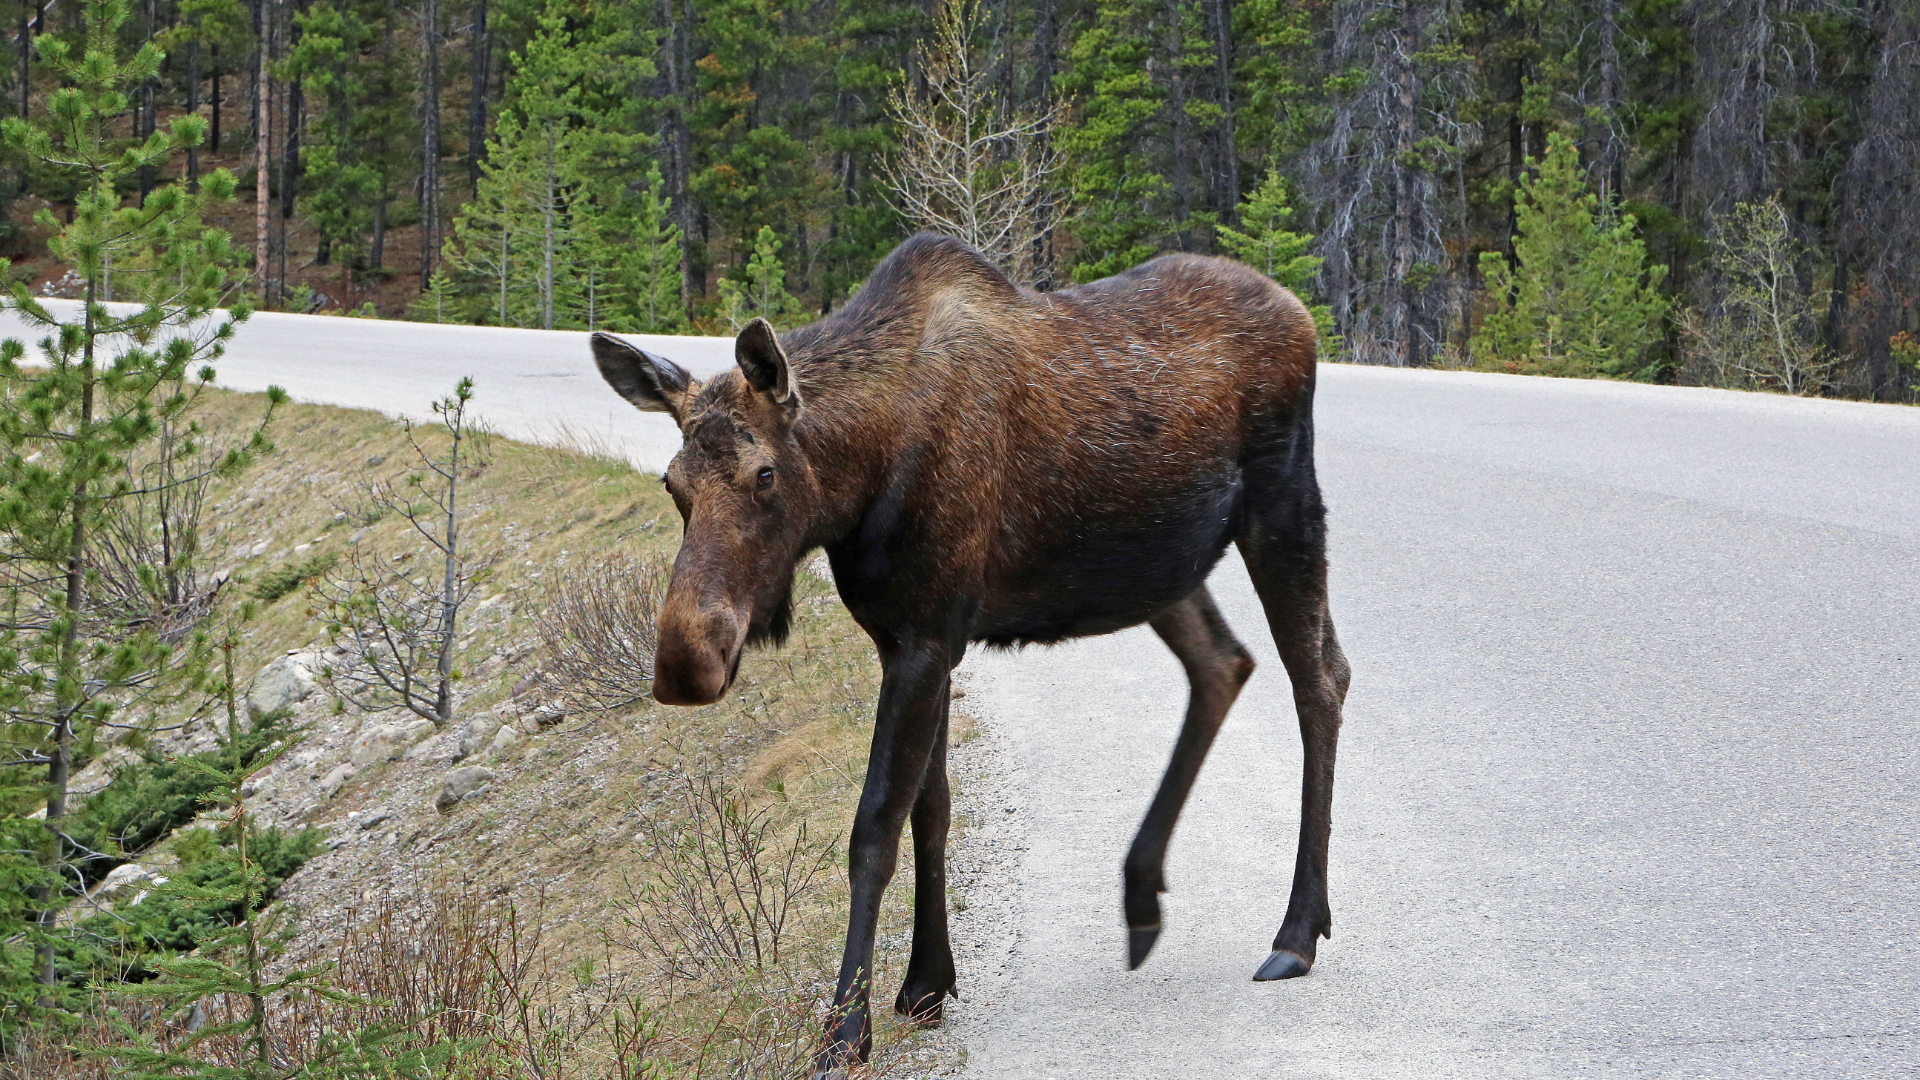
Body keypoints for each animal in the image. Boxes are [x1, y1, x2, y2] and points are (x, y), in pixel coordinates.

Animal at [591, 231, 1359, 1068]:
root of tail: (1300, 314)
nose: (685, 661)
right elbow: (932, 808)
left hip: (1284, 505)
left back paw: (1297, 929)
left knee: (1321, 675)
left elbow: (875, 826)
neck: (859, 480)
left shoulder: (927, 638)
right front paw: (927, 981)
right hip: (1160, 565)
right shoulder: (908, 640)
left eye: (763, 472)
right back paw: (1141, 893)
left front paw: (846, 1030)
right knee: (1223, 663)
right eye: (673, 483)